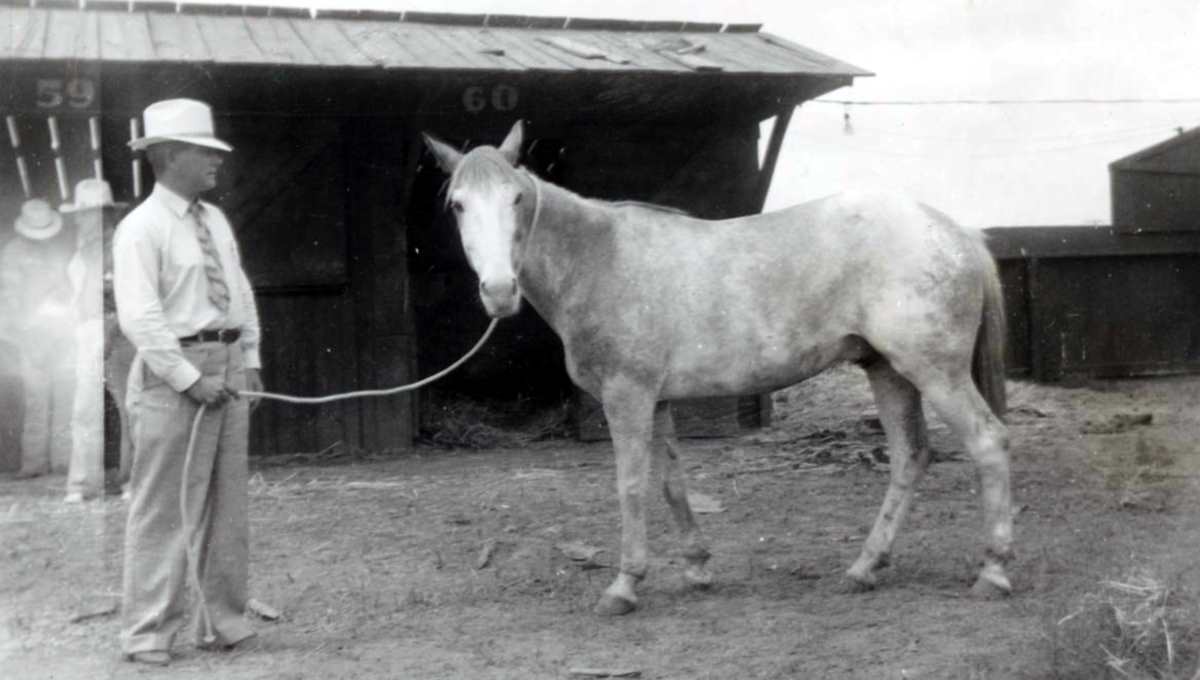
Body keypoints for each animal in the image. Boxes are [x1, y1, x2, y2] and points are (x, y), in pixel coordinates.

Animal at [422, 121, 1013, 616]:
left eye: (517, 198)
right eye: (457, 205)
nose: (500, 292)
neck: (601, 261)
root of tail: (956, 232)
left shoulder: (627, 397)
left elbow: (631, 485)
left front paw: (623, 587)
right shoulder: (656, 400)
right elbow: (671, 484)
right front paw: (697, 569)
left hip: (934, 371)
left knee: (987, 443)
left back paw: (993, 571)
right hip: (886, 370)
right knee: (910, 457)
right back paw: (865, 568)